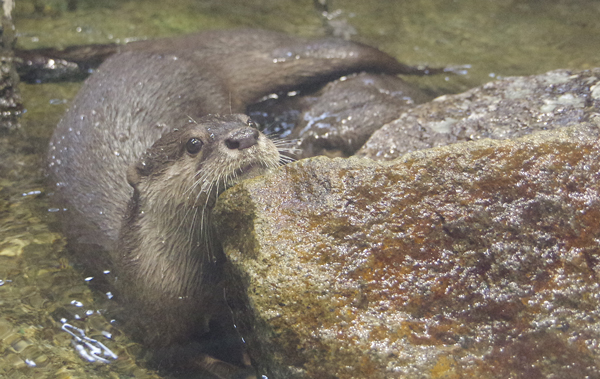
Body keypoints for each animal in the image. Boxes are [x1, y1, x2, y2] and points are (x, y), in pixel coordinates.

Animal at [45, 29, 422, 378]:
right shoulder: (158, 332)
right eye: (193, 143)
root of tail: (158, 48)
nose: (243, 137)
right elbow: (191, 361)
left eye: (251, 123)